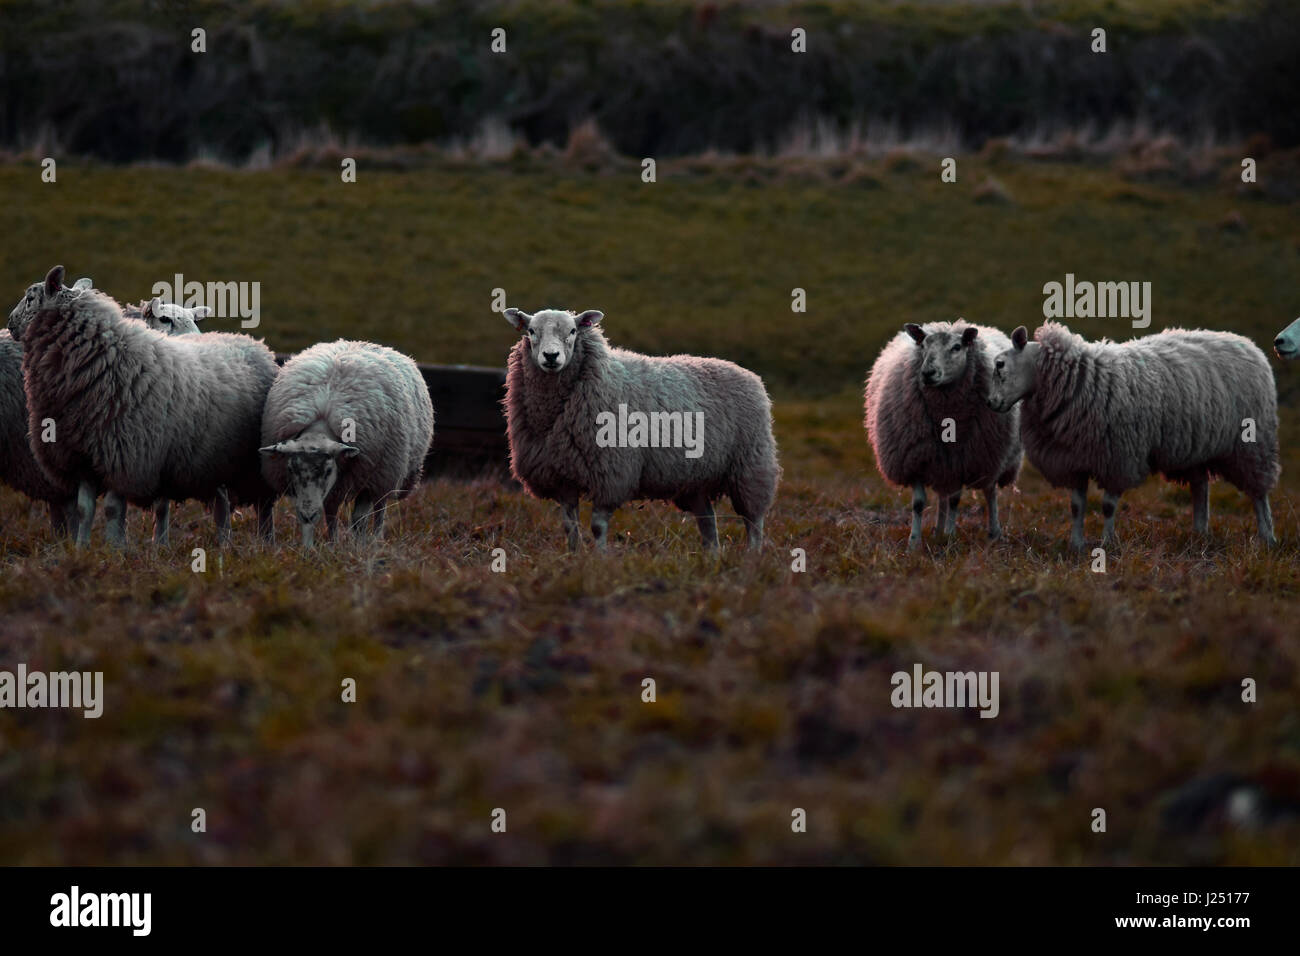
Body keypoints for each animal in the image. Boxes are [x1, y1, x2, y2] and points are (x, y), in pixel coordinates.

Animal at [6, 265, 279, 548]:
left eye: (30, 298)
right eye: (166, 319)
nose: (10, 322)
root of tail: (252, 342)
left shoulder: (127, 455)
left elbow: (114, 509)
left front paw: (116, 549)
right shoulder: (84, 457)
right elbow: (85, 509)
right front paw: (83, 548)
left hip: (250, 459)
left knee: (259, 505)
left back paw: (262, 543)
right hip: (214, 457)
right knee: (222, 503)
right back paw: (225, 543)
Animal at [258, 340, 436, 546]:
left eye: (327, 471)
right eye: (290, 469)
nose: (308, 514)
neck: (321, 423)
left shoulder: (368, 475)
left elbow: (359, 518)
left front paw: (357, 546)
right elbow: (329, 514)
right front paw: (322, 545)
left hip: (386, 472)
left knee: (379, 509)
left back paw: (376, 540)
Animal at [501, 306, 774, 554]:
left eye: (572, 331)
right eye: (531, 331)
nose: (551, 356)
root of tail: (748, 374)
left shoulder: (612, 473)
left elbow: (598, 526)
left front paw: (599, 559)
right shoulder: (561, 476)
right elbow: (570, 526)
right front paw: (573, 556)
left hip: (751, 465)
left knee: (754, 519)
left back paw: (752, 556)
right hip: (695, 478)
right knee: (707, 520)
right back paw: (712, 556)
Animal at [863, 319, 1024, 548]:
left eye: (956, 347)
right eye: (923, 345)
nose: (927, 373)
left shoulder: (962, 460)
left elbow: (956, 500)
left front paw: (950, 536)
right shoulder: (917, 458)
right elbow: (919, 503)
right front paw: (914, 542)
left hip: (990, 456)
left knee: (989, 491)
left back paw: (993, 533)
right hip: (943, 462)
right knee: (942, 496)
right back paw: (938, 530)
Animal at [982, 321, 1279, 546]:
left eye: (1000, 364)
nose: (990, 403)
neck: (1080, 380)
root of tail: (1246, 343)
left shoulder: (1119, 458)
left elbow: (1107, 506)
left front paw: (1106, 542)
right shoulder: (1074, 459)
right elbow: (1076, 506)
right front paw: (1076, 543)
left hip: (1252, 444)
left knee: (1258, 494)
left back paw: (1267, 536)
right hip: (1196, 448)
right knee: (1200, 488)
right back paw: (1199, 532)